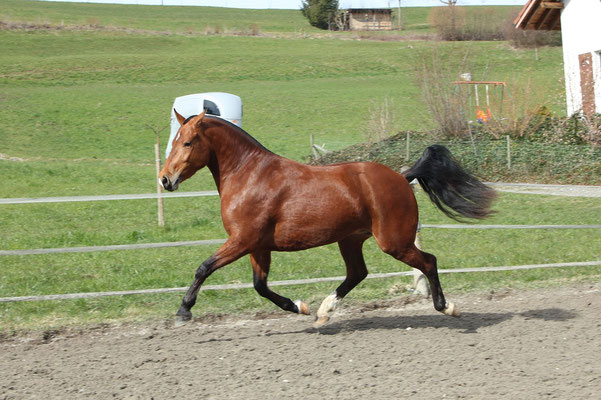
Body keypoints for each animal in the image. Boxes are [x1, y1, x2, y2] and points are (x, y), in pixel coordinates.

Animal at [157, 109, 494, 328]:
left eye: (187, 142)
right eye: (173, 141)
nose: (164, 179)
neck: (250, 174)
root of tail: (402, 176)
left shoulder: (242, 240)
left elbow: (204, 268)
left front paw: (183, 311)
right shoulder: (257, 246)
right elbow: (260, 285)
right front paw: (299, 307)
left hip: (394, 241)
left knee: (428, 261)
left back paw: (447, 307)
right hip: (351, 240)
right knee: (358, 273)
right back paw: (323, 311)